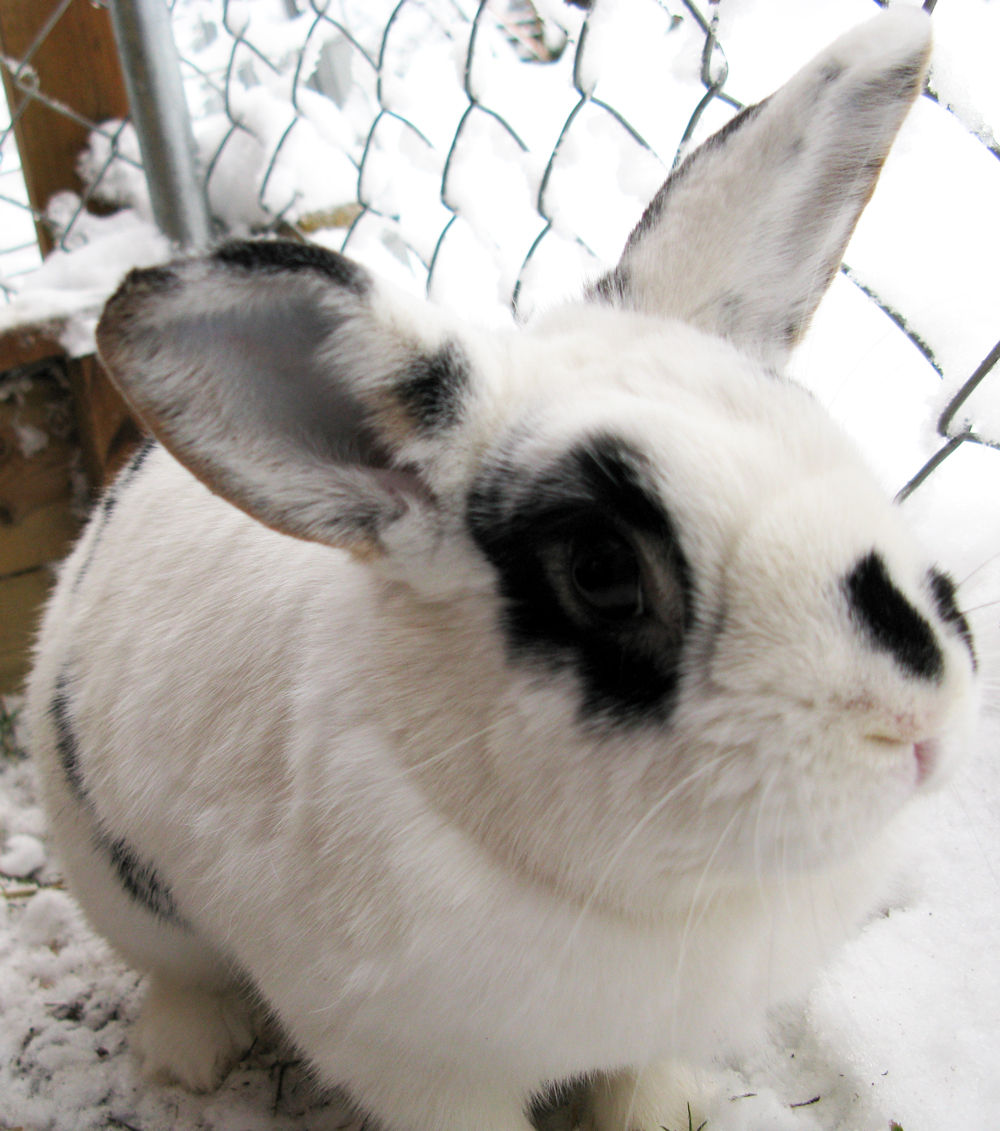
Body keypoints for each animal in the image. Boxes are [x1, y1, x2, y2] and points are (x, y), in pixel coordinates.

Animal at [25, 8, 977, 1131]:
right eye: (601, 567)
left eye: (819, 431)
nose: (916, 716)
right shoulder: (423, 1070)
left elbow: (639, 1079)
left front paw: (668, 1114)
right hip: (122, 888)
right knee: (178, 973)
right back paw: (188, 1060)